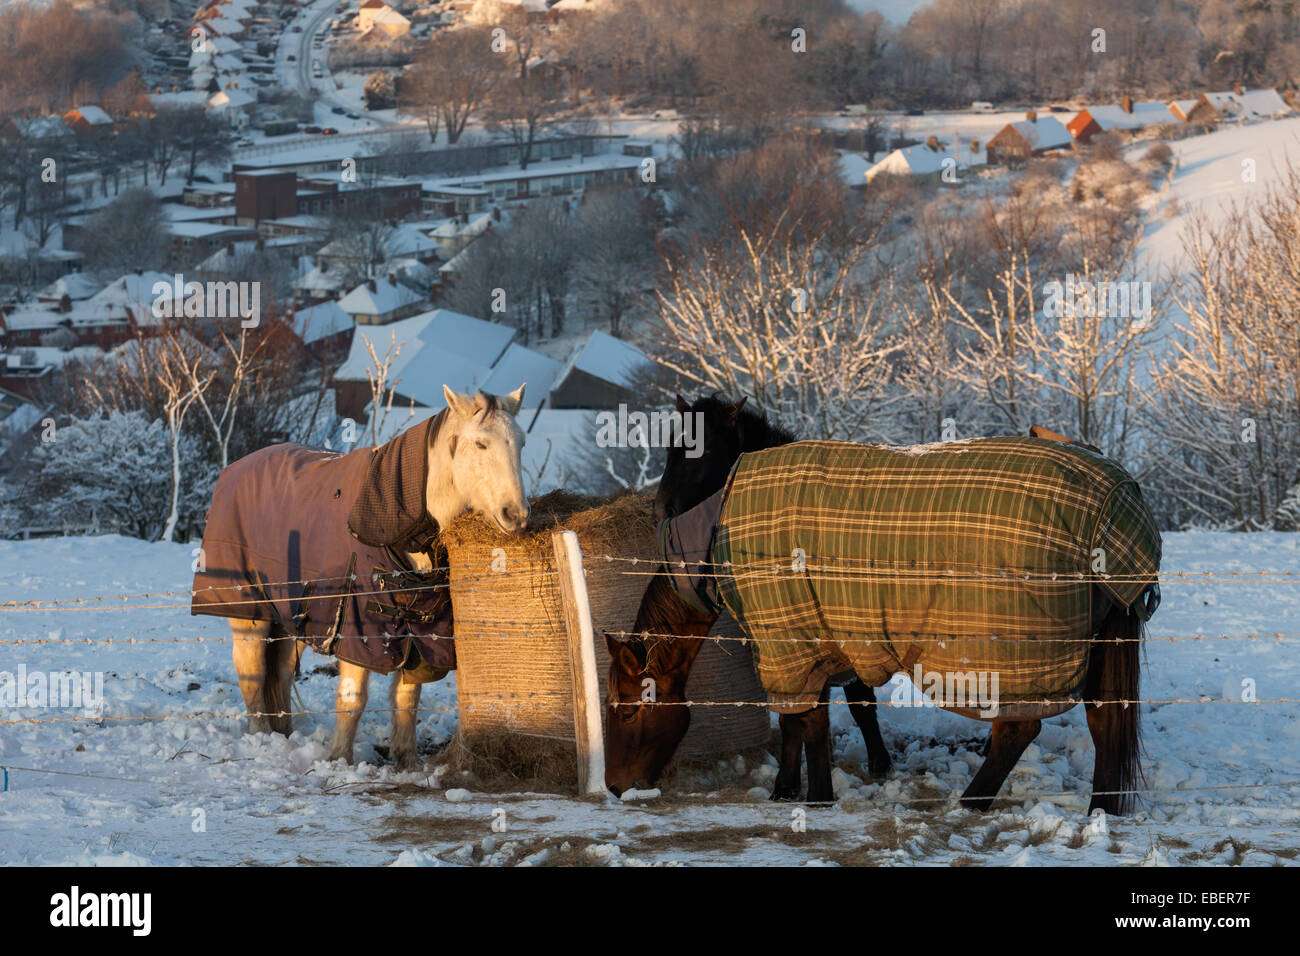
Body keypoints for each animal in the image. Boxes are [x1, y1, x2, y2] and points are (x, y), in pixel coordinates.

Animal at [228, 382, 527, 770]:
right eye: (480, 444)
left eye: (520, 443)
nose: (517, 515)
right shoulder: (357, 631)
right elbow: (353, 699)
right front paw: (340, 759)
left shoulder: (417, 631)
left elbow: (407, 698)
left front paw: (407, 760)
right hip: (248, 612)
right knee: (251, 671)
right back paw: (262, 737)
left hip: (291, 615)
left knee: (279, 671)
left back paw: (285, 734)